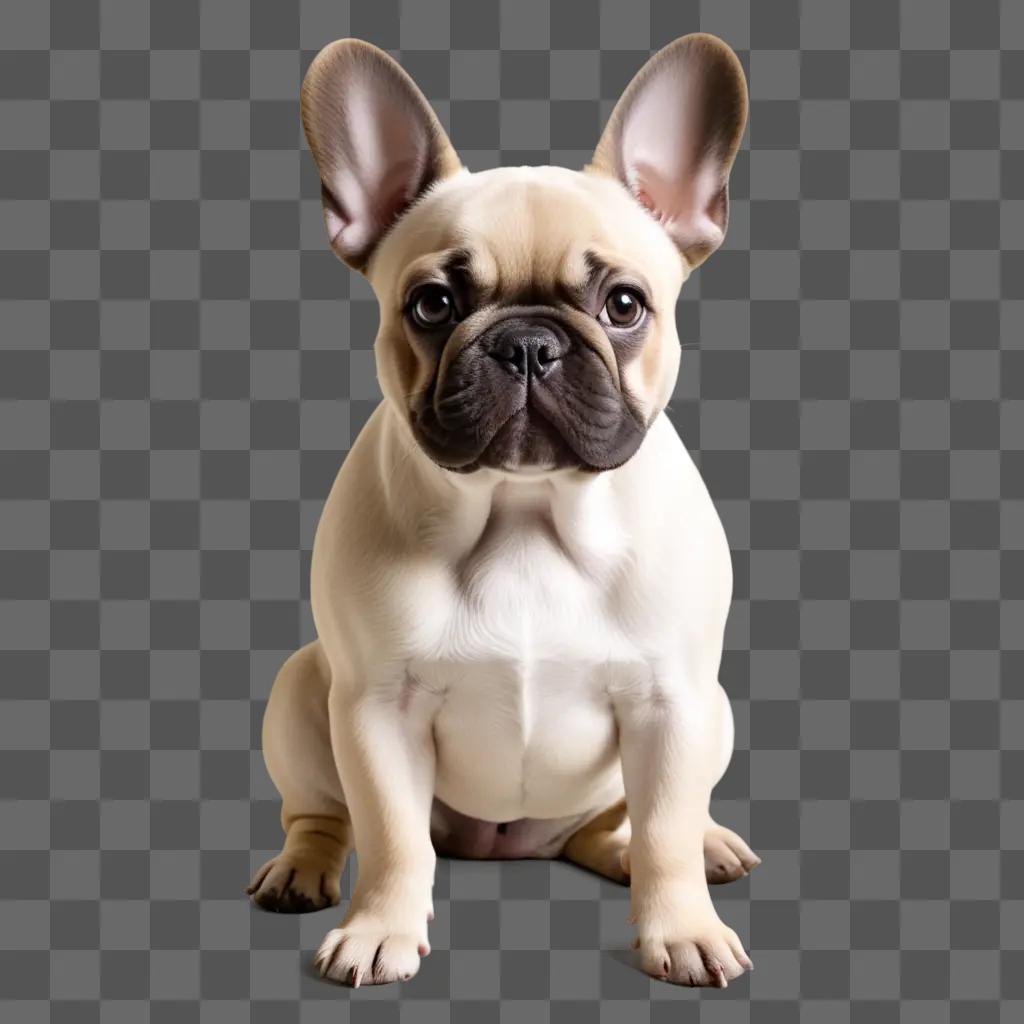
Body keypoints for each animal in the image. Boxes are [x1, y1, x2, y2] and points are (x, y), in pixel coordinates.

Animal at [245, 36, 761, 987]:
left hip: (714, 711)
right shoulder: (376, 708)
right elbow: (393, 835)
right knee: (326, 814)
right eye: (433, 304)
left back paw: (674, 847)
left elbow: (665, 828)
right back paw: (302, 867)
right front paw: (379, 929)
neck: (525, 513)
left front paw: (682, 927)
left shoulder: (672, 702)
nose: (527, 344)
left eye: (624, 305)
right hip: (304, 687)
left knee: (626, 825)